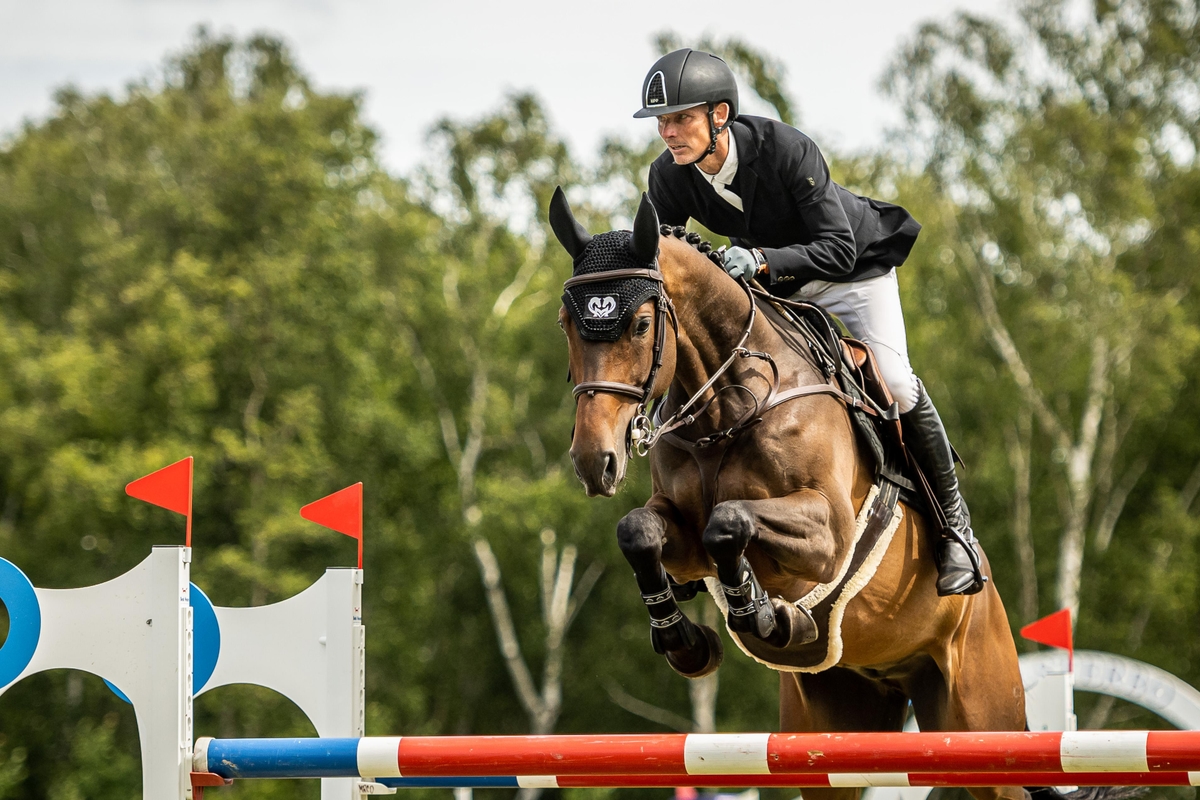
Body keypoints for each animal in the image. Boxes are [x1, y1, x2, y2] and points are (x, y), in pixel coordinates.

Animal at [556, 188, 1027, 800]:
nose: (595, 462)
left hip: (981, 720)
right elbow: (638, 530)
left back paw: (956, 558)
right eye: (566, 322)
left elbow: (729, 520)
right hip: (834, 729)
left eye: (638, 324)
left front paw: (763, 614)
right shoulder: (683, 540)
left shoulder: (829, 534)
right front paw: (686, 641)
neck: (729, 405)